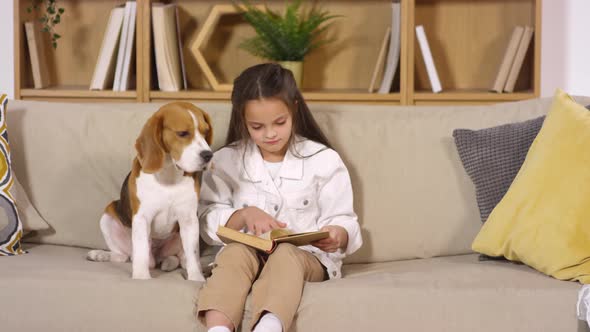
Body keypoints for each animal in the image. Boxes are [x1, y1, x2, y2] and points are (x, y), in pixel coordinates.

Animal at [88, 100, 213, 280]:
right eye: (182, 133)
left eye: (206, 132)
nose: (208, 155)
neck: (169, 175)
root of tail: (158, 256)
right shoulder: (142, 218)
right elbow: (141, 252)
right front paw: (141, 278)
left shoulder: (189, 219)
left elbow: (192, 254)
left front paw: (196, 278)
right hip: (107, 215)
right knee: (123, 256)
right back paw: (99, 254)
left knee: (182, 258)